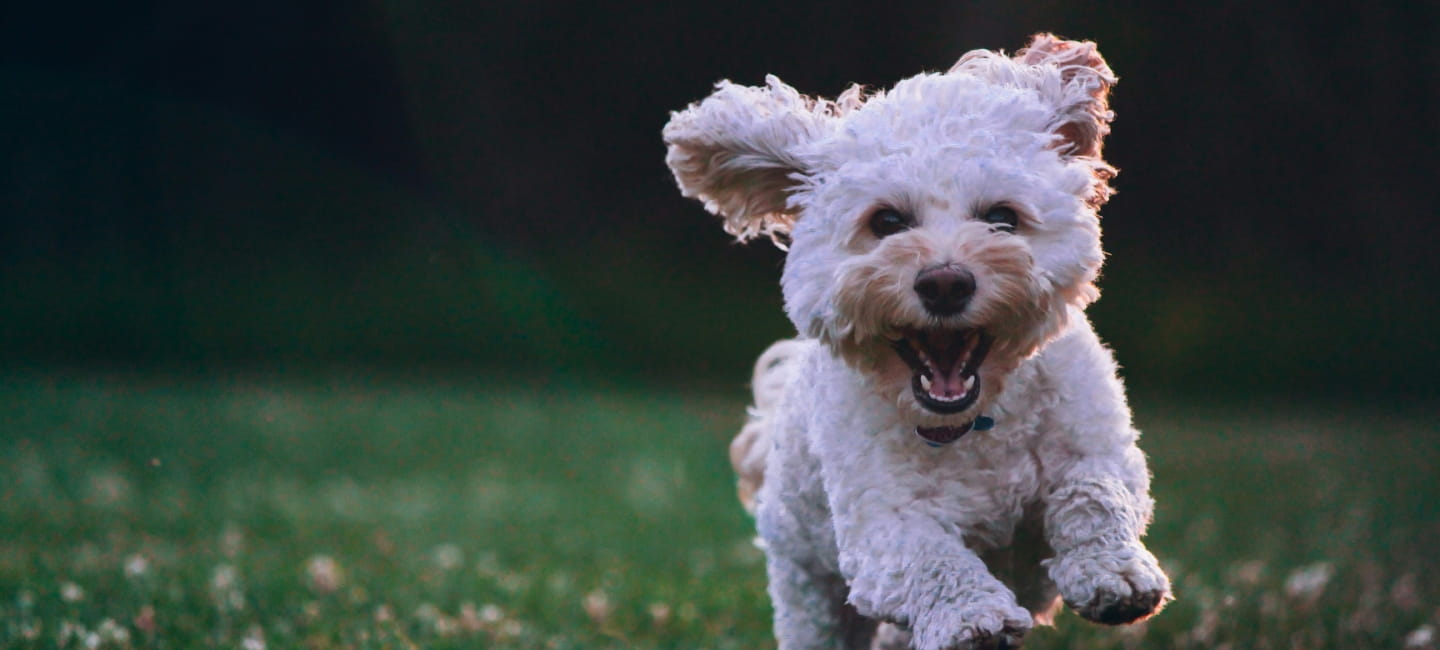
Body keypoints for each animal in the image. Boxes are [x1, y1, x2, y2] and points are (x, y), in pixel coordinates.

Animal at [662, 34, 1169, 650]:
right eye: (886, 221)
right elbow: (931, 560)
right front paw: (973, 616)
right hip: (808, 586)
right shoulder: (882, 524)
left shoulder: (1098, 446)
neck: (974, 424)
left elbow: (1094, 494)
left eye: (1002, 217)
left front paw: (1113, 573)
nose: (945, 282)